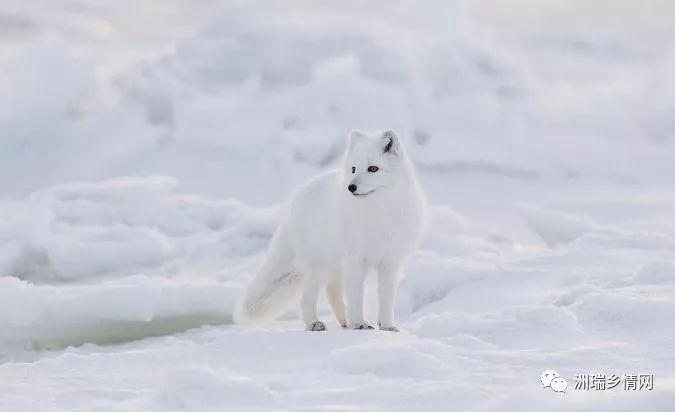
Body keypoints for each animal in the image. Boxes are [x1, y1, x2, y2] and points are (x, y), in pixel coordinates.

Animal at [238, 130, 426, 330]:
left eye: (373, 169)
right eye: (353, 169)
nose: (351, 187)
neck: (379, 214)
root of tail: (293, 203)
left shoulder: (390, 262)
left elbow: (386, 299)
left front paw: (387, 326)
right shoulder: (355, 259)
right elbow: (355, 296)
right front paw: (358, 324)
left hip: (335, 267)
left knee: (331, 292)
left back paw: (345, 321)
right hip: (318, 267)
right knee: (307, 298)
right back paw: (315, 323)